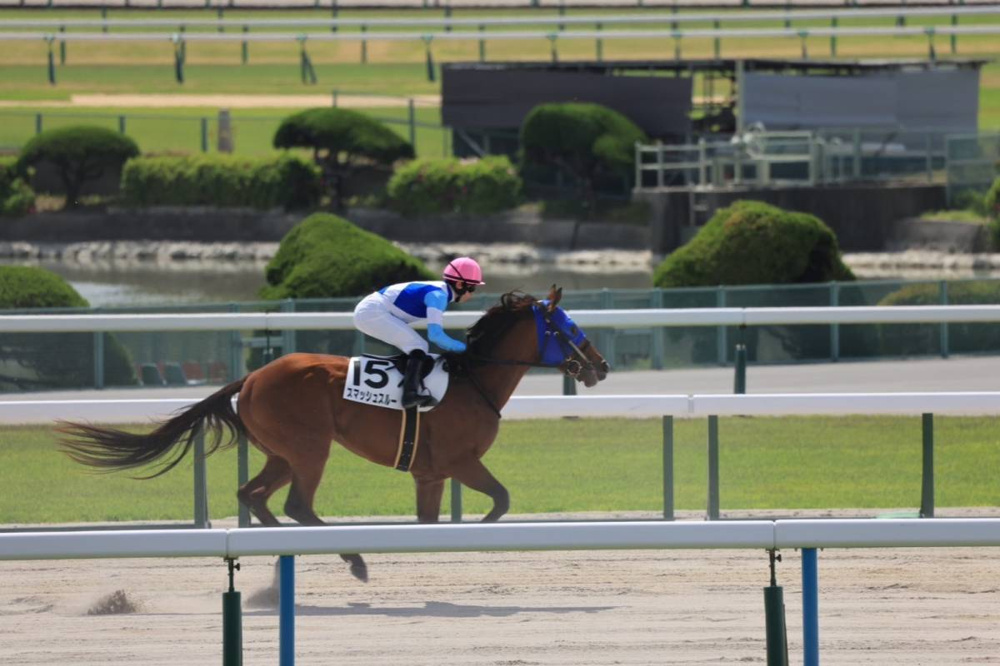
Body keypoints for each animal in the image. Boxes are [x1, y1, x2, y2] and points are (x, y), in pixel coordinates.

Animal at [59, 286, 609, 582]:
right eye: (569, 328)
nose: (600, 366)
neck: (472, 379)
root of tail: (251, 377)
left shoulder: (429, 475)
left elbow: (434, 519)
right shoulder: (459, 462)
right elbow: (500, 501)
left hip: (282, 452)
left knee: (254, 495)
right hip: (310, 448)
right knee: (296, 504)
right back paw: (353, 557)